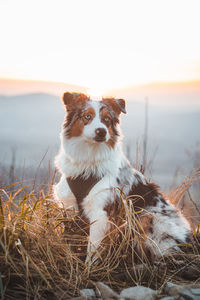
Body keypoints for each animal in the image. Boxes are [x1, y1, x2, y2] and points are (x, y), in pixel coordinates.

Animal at [54, 92, 191, 262]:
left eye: (107, 119)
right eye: (87, 116)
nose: (101, 131)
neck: (89, 161)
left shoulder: (101, 212)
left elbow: (92, 251)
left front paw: (88, 267)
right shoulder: (69, 207)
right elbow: (71, 238)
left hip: (148, 216)